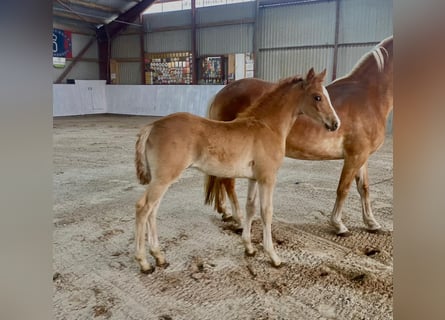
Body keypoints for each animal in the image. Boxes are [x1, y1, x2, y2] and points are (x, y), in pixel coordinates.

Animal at [134, 68, 338, 272]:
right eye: (317, 97)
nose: (335, 124)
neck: (268, 126)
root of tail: (152, 126)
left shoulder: (254, 178)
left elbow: (250, 207)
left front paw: (249, 247)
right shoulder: (267, 177)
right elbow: (266, 212)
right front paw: (273, 256)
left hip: (162, 179)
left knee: (153, 210)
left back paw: (159, 256)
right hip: (163, 178)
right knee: (144, 208)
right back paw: (144, 262)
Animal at [205, 35, 392, 235]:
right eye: (318, 97)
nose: (335, 124)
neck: (368, 97)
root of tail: (221, 93)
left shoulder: (361, 156)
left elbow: (364, 188)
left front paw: (371, 223)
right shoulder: (355, 156)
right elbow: (344, 188)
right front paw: (338, 224)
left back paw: (226, 212)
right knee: (228, 182)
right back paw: (239, 220)